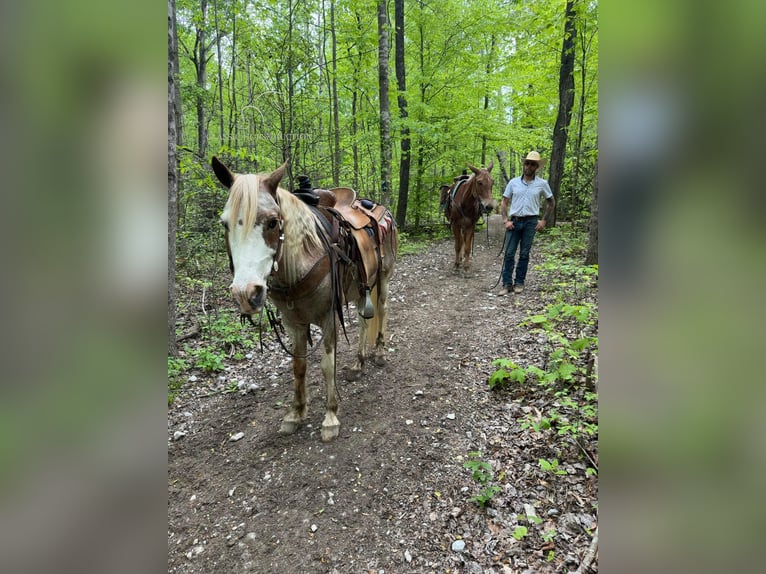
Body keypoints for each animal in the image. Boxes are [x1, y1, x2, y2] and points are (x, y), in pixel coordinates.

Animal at [212, 155, 400, 444]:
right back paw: (358, 364)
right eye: (225, 223)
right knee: (363, 321)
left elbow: (326, 365)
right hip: (362, 287)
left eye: (273, 222)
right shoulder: (294, 323)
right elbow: (298, 366)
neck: (302, 260)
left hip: (383, 278)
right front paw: (296, 413)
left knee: (382, 310)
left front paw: (331, 417)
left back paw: (378, 353)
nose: (246, 294)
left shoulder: (329, 318)